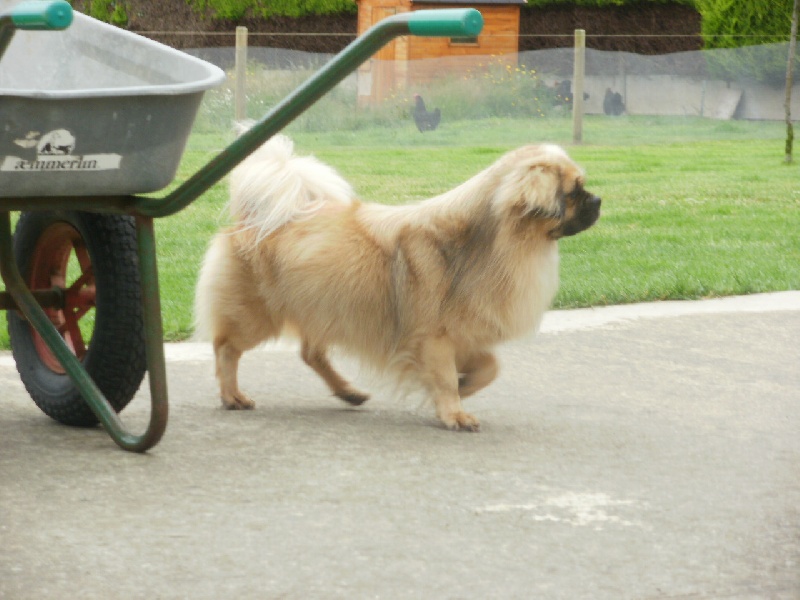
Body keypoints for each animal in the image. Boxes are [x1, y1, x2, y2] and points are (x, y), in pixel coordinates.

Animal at [195, 135, 600, 431]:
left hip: (323, 307)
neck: (489, 243)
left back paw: (349, 392)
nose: (597, 200)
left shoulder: (462, 335)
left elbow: (489, 367)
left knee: (311, 354)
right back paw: (232, 396)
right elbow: (444, 379)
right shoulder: (433, 338)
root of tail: (254, 218)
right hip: (258, 316)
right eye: (574, 192)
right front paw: (454, 413)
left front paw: (465, 387)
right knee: (226, 348)